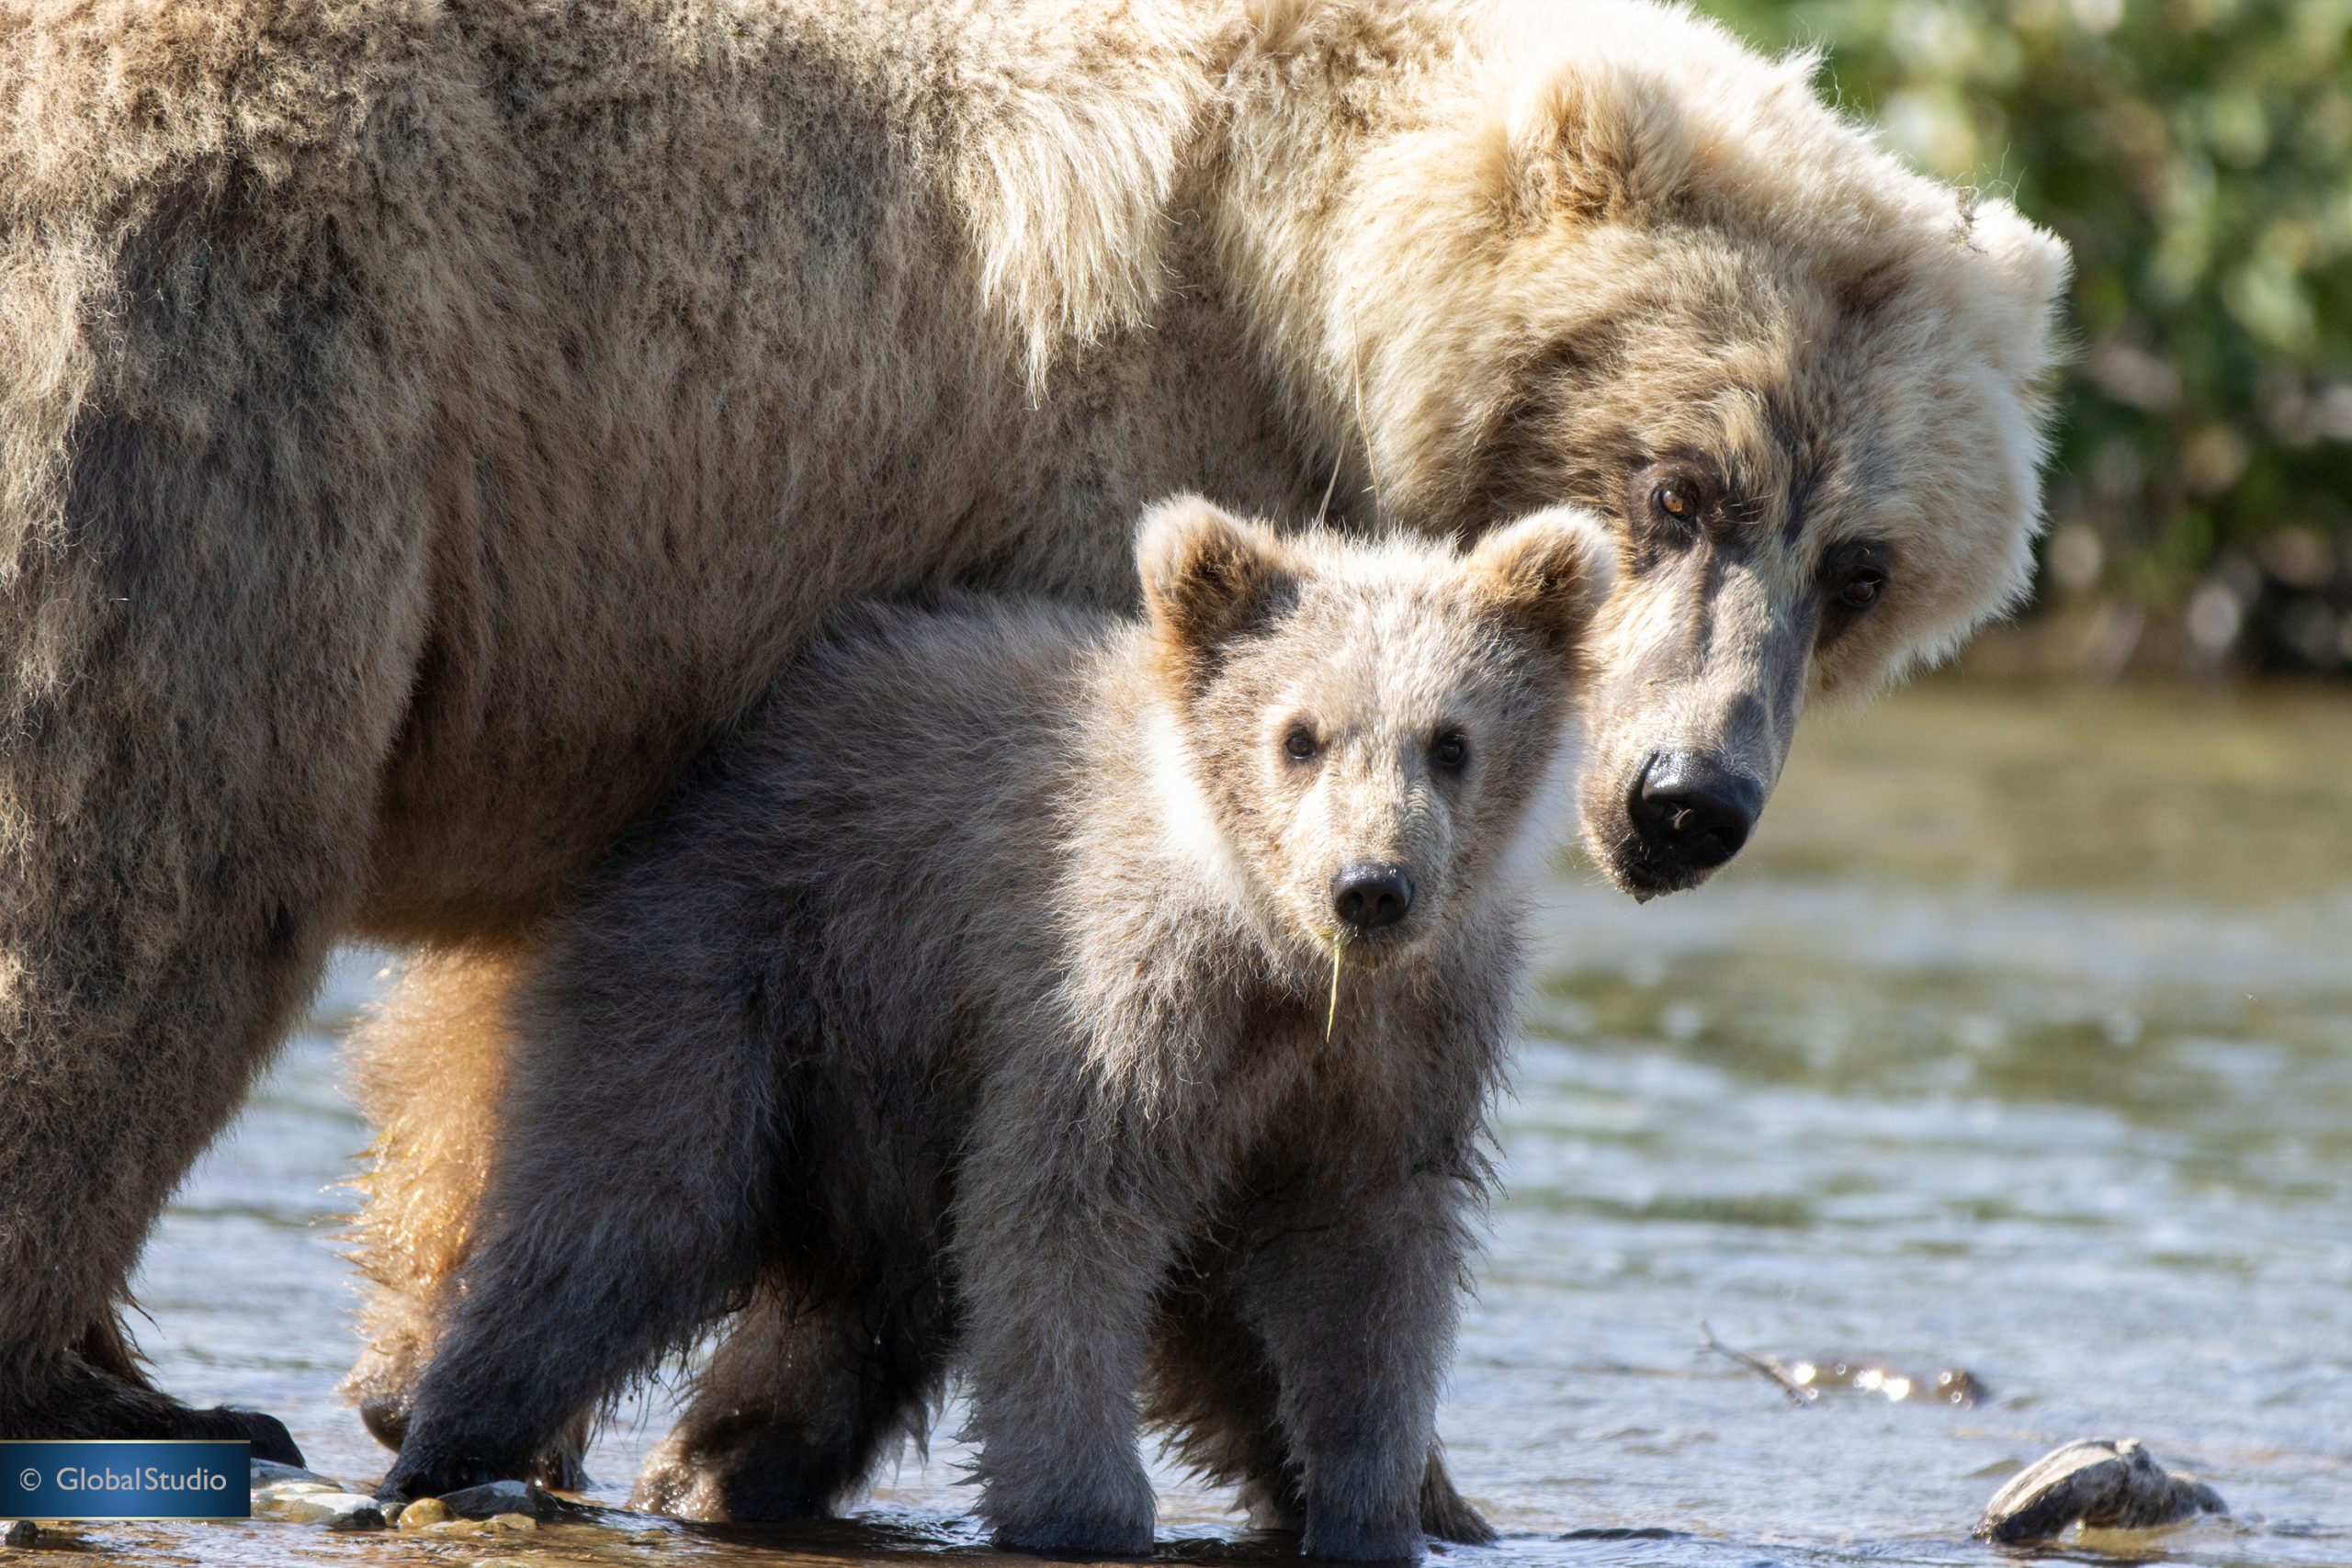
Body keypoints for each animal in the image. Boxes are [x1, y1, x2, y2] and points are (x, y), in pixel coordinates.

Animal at [370, 495, 1606, 1560]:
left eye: (1449, 741)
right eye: (1299, 736)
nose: (1370, 887)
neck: (1284, 967)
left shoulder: (1398, 1061)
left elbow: (1366, 1275)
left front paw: (1372, 1508)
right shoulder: (1119, 1004)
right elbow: (1063, 1221)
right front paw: (1085, 1511)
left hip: (874, 1097)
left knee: (847, 1320)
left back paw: (715, 1468)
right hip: (744, 962)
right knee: (626, 1207)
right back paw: (451, 1446)